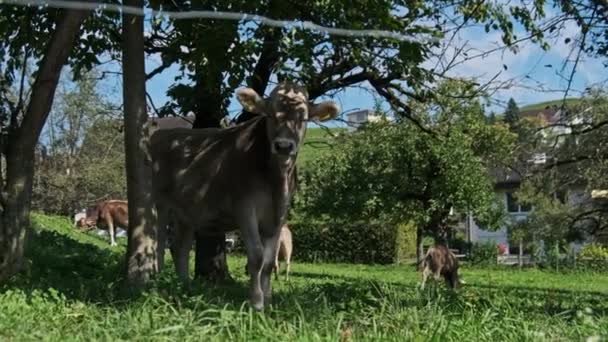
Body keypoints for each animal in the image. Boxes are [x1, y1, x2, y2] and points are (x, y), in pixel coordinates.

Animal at [150, 83, 340, 310]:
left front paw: (268, 301)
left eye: (303, 118)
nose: (284, 146)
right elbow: (257, 257)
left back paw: (185, 285)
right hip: (159, 203)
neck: (276, 182)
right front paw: (256, 302)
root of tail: (164, 134)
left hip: (187, 211)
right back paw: (158, 282)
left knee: (180, 246)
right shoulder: (245, 208)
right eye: (270, 114)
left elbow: (269, 262)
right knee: (159, 244)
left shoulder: (279, 216)